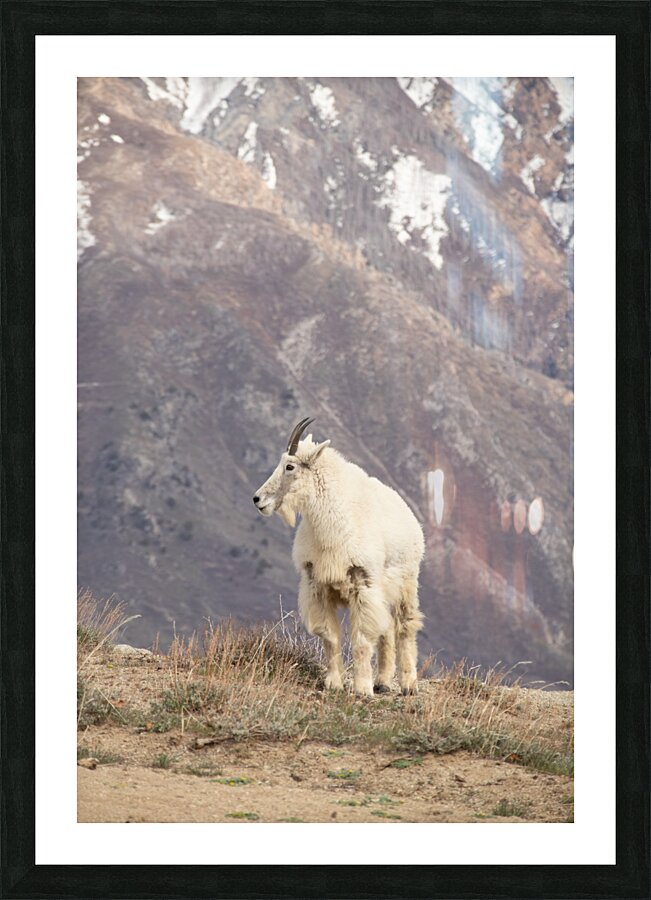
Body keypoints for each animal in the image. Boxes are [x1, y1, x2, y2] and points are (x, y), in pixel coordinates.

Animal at [253, 418, 424, 696]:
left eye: (289, 466)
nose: (258, 499)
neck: (332, 523)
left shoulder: (363, 584)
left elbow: (362, 639)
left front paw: (362, 688)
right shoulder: (318, 585)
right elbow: (330, 637)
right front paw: (334, 683)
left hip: (406, 582)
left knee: (404, 626)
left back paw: (408, 684)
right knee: (387, 629)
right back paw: (383, 682)